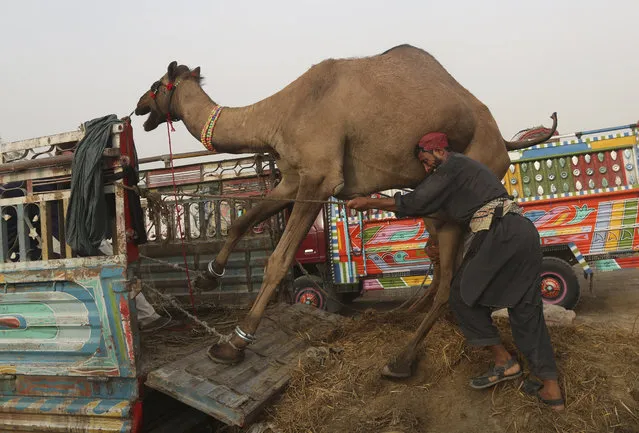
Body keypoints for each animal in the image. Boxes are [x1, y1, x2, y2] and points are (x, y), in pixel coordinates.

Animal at [136, 44, 560, 374]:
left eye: (156, 86)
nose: (139, 107)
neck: (278, 114)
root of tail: (504, 141)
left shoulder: (320, 177)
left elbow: (278, 260)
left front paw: (232, 344)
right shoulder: (293, 177)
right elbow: (241, 222)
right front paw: (207, 277)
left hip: (465, 183)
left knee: (450, 280)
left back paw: (401, 360)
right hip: (433, 198)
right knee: (438, 261)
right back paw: (403, 314)